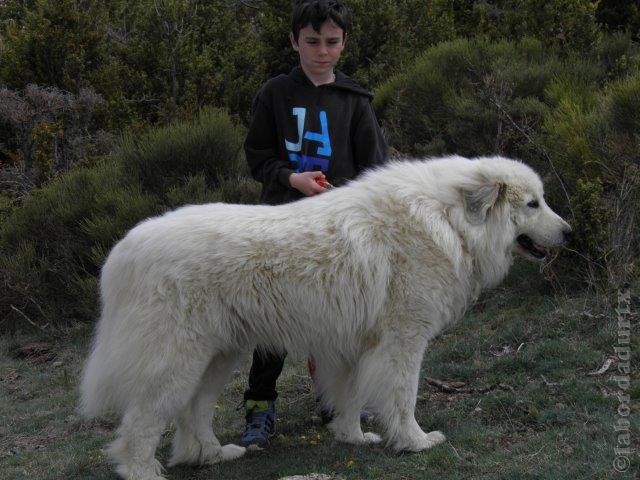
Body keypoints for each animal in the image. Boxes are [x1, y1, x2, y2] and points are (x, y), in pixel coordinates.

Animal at [79, 156, 568, 478]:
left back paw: (213, 455)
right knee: (140, 427)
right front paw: (414, 442)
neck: (449, 221)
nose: (569, 231)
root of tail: (122, 253)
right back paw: (145, 471)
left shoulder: (352, 347)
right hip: (175, 361)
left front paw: (353, 437)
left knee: (193, 410)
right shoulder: (403, 341)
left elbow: (348, 397)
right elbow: (403, 397)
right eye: (533, 204)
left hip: (216, 358)